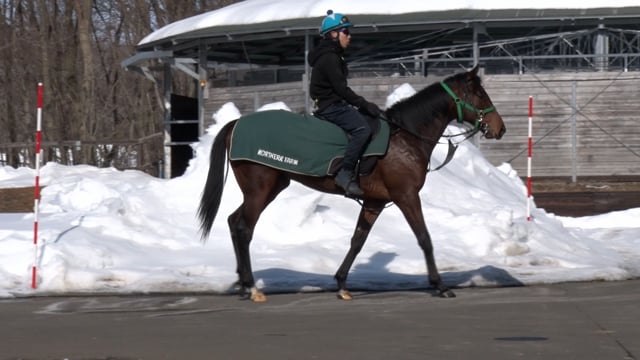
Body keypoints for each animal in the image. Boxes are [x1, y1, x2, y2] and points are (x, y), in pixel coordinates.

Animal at [198, 66, 508, 302]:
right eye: (479, 94)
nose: (500, 128)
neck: (405, 136)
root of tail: (236, 123)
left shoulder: (374, 202)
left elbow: (358, 241)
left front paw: (341, 283)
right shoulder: (407, 196)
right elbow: (424, 238)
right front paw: (440, 285)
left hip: (270, 188)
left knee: (233, 221)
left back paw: (242, 284)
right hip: (260, 190)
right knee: (243, 228)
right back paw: (252, 287)